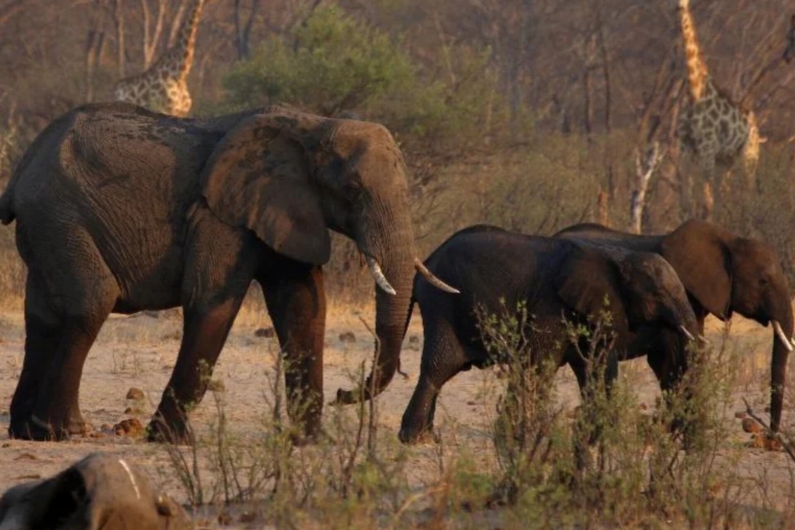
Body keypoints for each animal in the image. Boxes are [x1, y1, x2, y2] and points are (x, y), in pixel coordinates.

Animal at [0, 101, 458, 444]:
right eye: (352, 191)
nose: (345, 394)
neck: (314, 125)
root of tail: (21, 172)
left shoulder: (285, 208)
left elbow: (304, 306)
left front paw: (309, 443)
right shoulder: (220, 216)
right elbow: (211, 302)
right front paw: (170, 441)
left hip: (47, 225)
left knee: (42, 316)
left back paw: (26, 431)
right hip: (59, 215)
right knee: (92, 300)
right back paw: (64, 431)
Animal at [398, 224, 696, 442]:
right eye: (658, 295)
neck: (615, 256)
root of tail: (424, 262)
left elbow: (595, 368)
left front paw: (597, 434)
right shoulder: (551, 306)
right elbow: (539, 365)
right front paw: (523, 436)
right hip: (442, 304)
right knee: (439, 367)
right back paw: (416, 440)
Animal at [676, 0, 760, 219]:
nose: (679, 6)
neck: (694, 90)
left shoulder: (707, 147)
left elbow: (706, 204)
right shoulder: (685, 147)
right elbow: (687, 203)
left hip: (749, 156)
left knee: (748, 195)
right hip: (725, 160)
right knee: (723, 193)